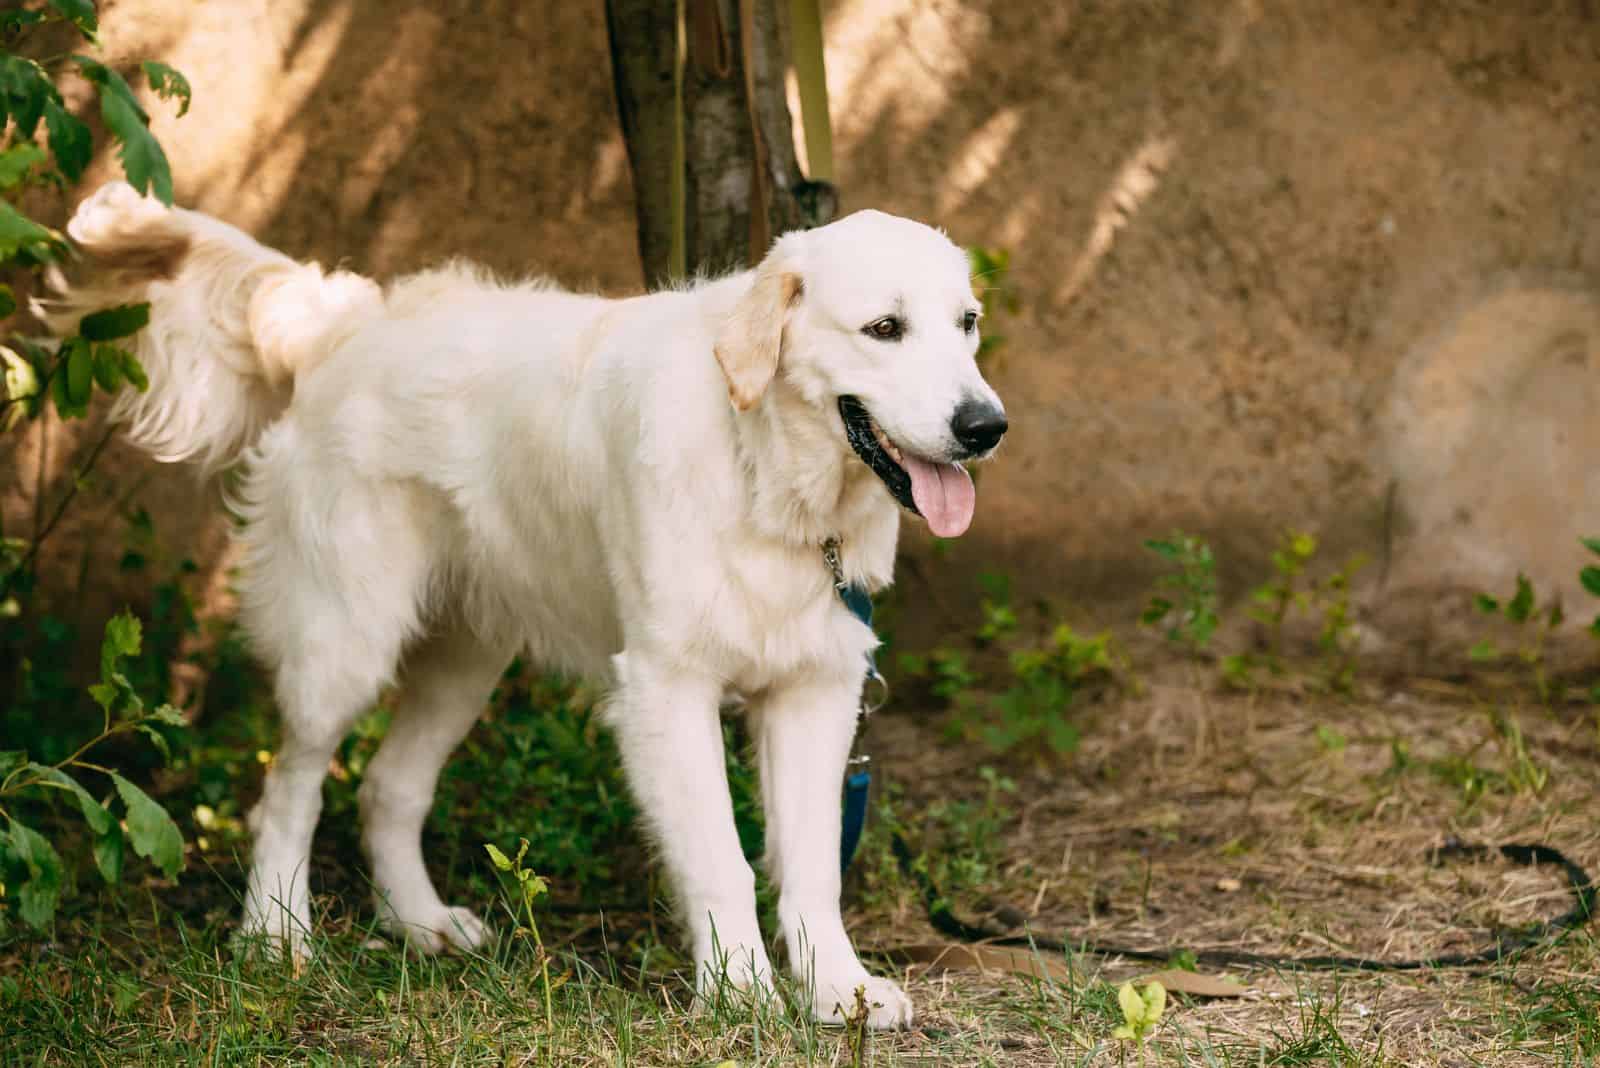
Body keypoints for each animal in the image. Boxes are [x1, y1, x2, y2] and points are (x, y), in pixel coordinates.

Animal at [56, 181, 1004, 1023]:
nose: (985, 427)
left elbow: (810, 866)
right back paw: (276, 935)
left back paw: (420, 924)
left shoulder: (816, 688)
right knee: (289, 791)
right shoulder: (666, 689)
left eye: (967, 324)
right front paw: (741, 992)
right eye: (884, 328)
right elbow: (723, 861)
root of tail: (351, 321)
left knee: (388, 789)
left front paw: (840, 991)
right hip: (346, 646)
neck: (765, 467)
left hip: (464, 660)